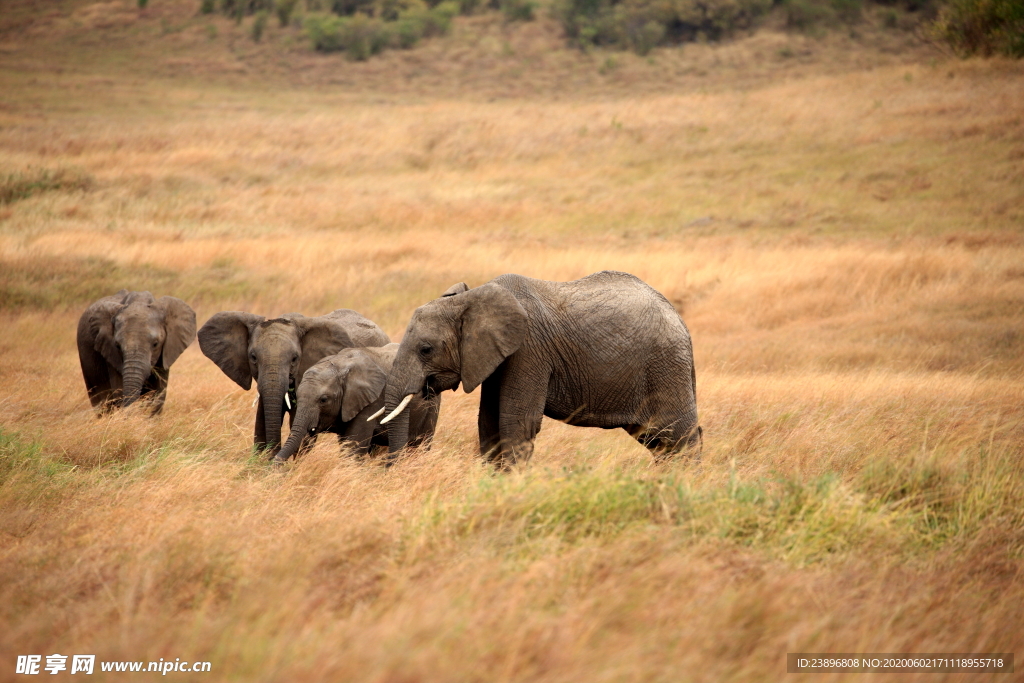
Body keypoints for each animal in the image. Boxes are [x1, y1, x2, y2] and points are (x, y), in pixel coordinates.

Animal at [270, 342, 438, 464]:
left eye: (324, 400)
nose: (275, 465)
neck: (339, 365)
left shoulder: (370, 402)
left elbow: (353, 449)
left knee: (421, 444)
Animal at [380, 272, 700, 471]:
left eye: (426, 349)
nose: (391, 468)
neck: (472, 299)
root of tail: (680, 320)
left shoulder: (528, 350)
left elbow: (516, 422)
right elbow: (488, 422)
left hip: (665, 364)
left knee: (677, 434)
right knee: (657, 440)